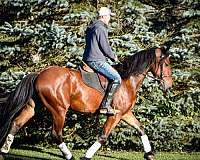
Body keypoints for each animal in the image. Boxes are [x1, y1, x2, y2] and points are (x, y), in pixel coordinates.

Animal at [0, 47, 172, 160]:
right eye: (167, 64)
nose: (169, 85)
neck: (126, 80)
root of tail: (39, 74)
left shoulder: (125, 113)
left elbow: (141, 128)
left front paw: (149, 154)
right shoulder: (114, 116)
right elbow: (103, 137)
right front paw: (86, 156)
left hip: (34, 107)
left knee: (16, 123)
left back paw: (3, 152)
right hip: (59, 110)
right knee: (56, 134)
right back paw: (69, 156)